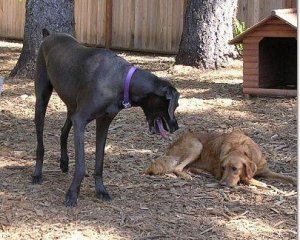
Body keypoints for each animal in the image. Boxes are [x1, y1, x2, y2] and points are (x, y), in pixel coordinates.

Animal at [32, 29, 179, 207]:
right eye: (175, 106)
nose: (176, 127)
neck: (122, 81)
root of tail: (48, 35)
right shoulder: (81, 120)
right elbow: (81, 166)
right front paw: (72, 194)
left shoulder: (103, 122)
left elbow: (99, 162)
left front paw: (101, 190)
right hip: (42, 99)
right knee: (40, 142)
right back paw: (37, 174)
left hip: (72, 106)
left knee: (63, 130)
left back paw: (64, 162)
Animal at [144, 130, 296, 187]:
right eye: (223, 168)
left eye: (234, 168)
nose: (222, 183)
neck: (241, 148)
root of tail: (171, 146)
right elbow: (251, 179)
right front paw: (265, 185)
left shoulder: (265, 170)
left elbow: (289, 177)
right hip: (196, 146)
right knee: (177, 167)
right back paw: (187, 176)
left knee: (186, 167)